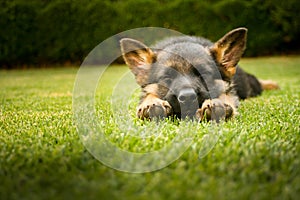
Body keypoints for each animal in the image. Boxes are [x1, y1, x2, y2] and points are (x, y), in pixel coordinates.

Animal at [119, 27, 278, 122]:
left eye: (204, 74)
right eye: (167, 78)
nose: (188, 97)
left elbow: (225, 95)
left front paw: (219, 103)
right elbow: (149, 95)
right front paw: (151, 103)